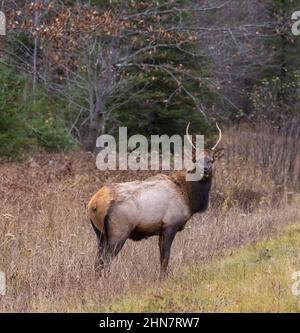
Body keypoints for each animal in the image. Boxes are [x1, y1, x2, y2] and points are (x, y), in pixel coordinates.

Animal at [86, 123, 223, 278]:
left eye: (212, 160)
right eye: (196, 160)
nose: (205, 169)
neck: (188, 197)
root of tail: (94, 204)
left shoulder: (161, 230)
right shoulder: (170, 225)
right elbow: (165, 258)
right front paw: (162, 278)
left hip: (100, 234)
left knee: (98, 262)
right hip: (118, 232)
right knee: (106, 260)